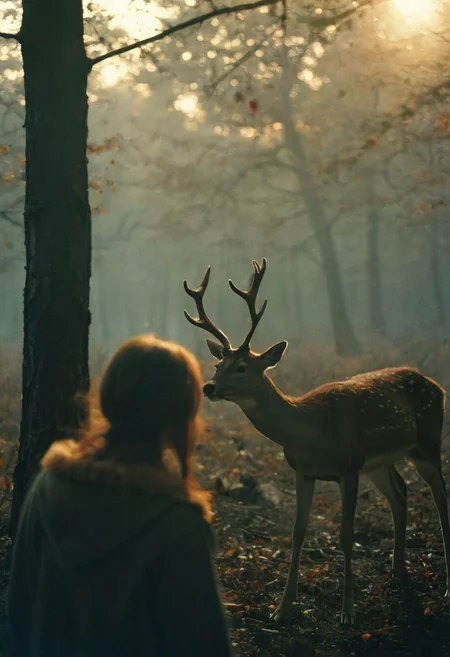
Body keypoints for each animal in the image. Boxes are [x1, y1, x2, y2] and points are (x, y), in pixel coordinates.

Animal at [183, 257, 450, 625]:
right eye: (217, 363)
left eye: (241, 367)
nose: (209, 387)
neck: (309, 431)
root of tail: (438, 386)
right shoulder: (303, 472)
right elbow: (297, 532)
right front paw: (281, 609)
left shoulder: (348, 467)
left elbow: (346, 535)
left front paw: (347, 612)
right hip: (379, 463)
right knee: (400, 493)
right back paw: (397, 573)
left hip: (427, 441)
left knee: (441, 498)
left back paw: (445, 588)